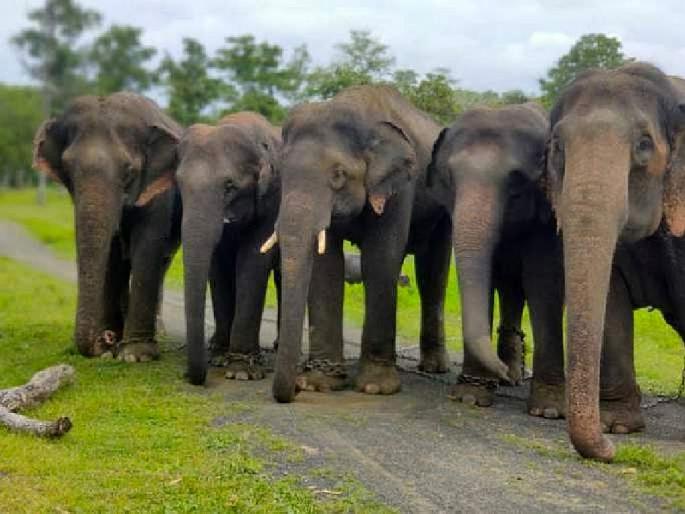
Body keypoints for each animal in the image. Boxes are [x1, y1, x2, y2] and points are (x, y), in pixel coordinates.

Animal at [32, 92, 182, 361]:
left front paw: (134, 356)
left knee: (163, 260)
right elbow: (111, 253)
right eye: (67, 169)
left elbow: (148, 243)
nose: (106, 338)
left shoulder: (159, 189)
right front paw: (110, 351)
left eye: (129, 170)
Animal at [142, 112, 282, 385]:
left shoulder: (274, 198)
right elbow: (217, 266)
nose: (188, 375)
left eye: (229, 186)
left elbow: (253, 261)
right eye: (180, 185)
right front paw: (219, 358)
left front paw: (240, 372)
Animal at [263, 84, 509, 403]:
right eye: (282, 173)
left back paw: (433, 367)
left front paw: (375, 388)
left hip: (443, 210)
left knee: (432, 274)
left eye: (339, 174)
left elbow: (380, 258)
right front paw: (319, 384)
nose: (294, 388)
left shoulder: (401, 186)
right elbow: (327, 265)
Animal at [428, 103, 565, 409]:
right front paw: (471, 396)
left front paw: (549, 409)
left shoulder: (548, 220)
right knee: (510, 290)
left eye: (516, 181)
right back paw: (511, 374)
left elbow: (544, 282)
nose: (498, 370)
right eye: (450, 178)